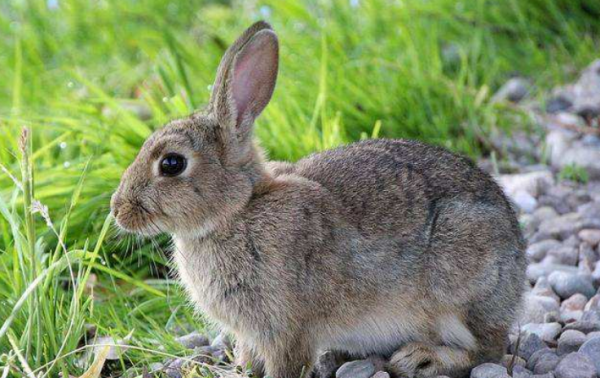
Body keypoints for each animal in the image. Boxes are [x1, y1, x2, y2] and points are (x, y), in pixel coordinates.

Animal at [111, 21, 524, 378]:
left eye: (172, 163)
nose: (118, 210)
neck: (237, 211)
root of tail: (518, 265)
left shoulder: (287, 328)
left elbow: (286, 364)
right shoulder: (251, 333)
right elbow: (248, 357)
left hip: (460, 285)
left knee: (487, 350)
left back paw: (420, 359)